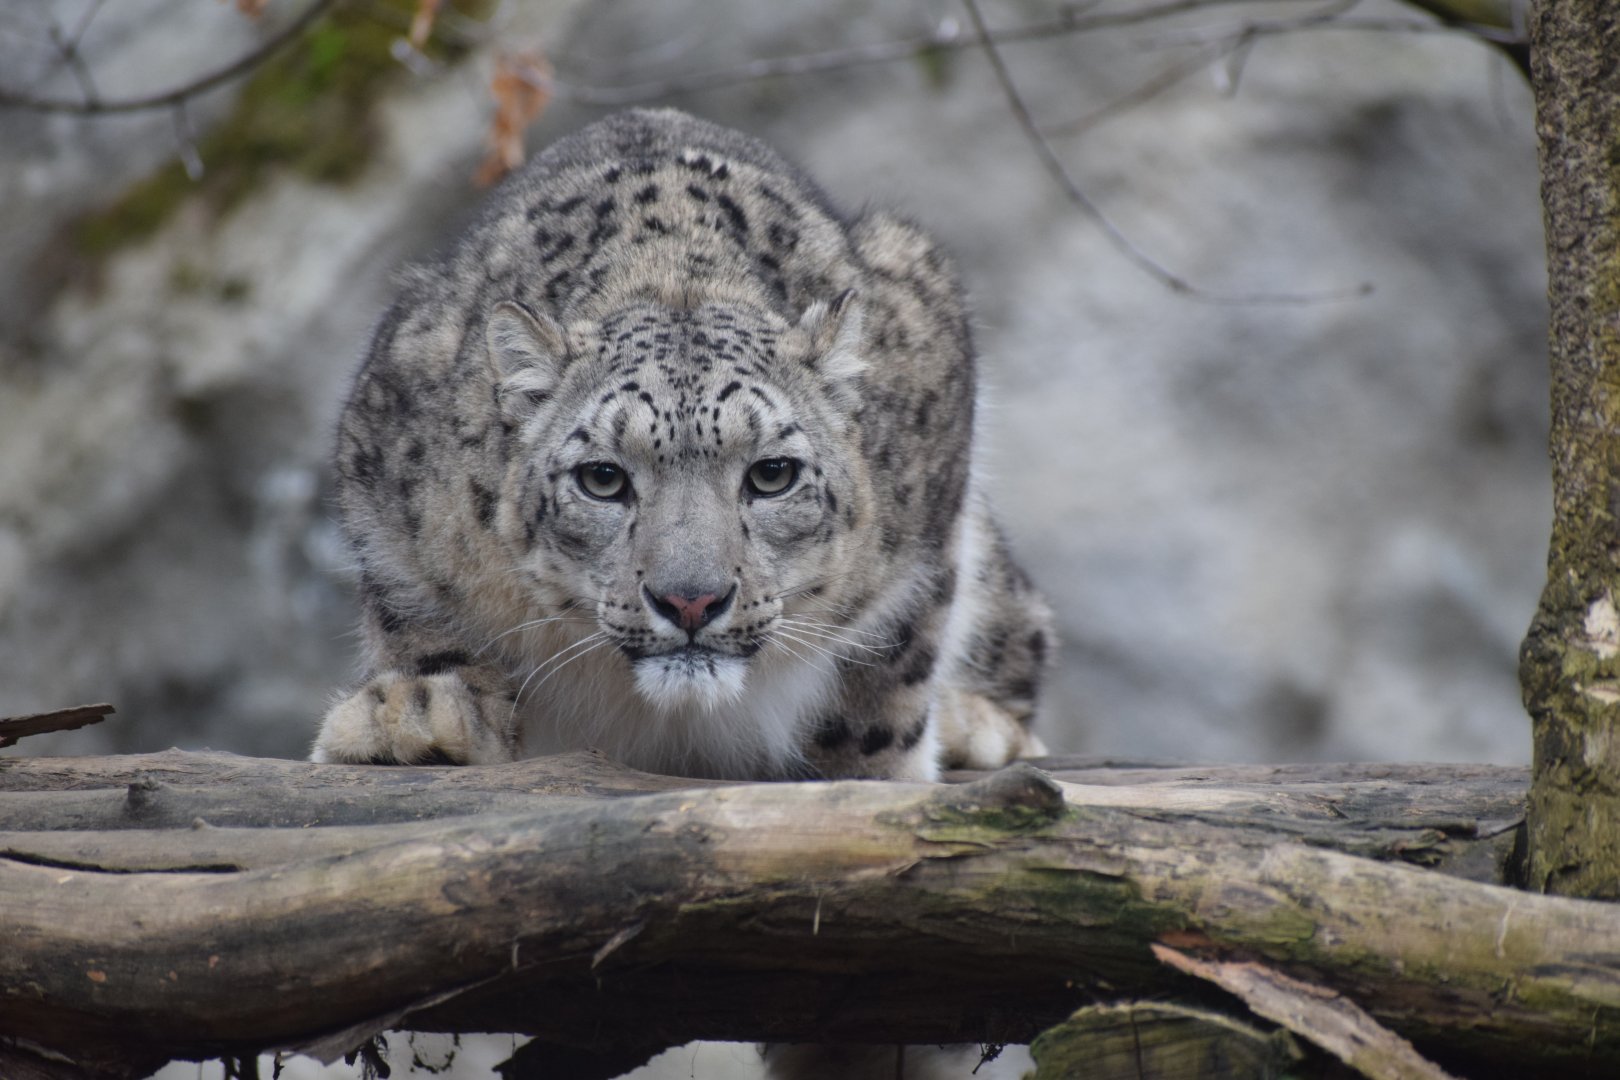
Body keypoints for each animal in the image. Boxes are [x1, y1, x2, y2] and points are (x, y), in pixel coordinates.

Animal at [312, 106, 1050, 784]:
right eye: (603, 479)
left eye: (772, 474)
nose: (690, 601)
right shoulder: (388, 465)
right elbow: (414, 612)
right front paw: (421, 714)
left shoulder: (930, 492)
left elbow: (886, 667)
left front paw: (867, 774)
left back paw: (975, 722)